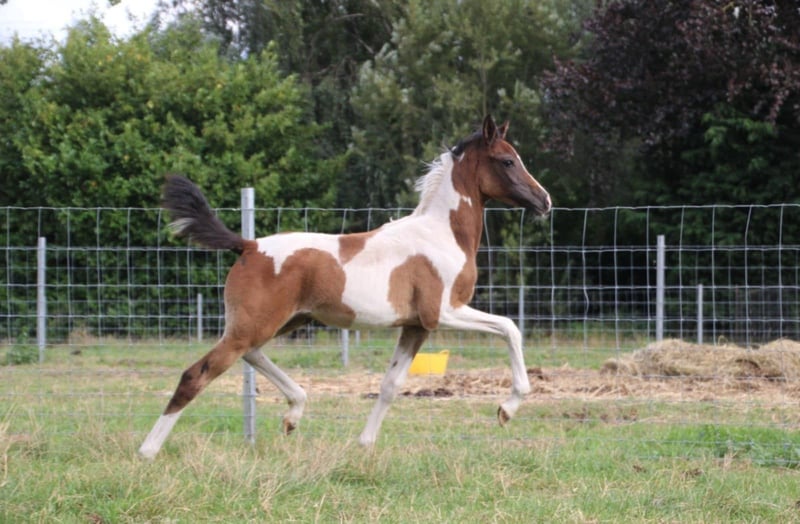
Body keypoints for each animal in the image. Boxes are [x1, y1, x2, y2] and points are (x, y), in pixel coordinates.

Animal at [138, 115, 551, 459]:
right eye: (507, 160)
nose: (544, 200)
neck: (440, 234)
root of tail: (249, 246)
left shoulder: (415, 326)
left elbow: (390, 385)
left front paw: (364, 445)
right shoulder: (442, 313)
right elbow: (510, 328)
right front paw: (507, 409)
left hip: (282, 322)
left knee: (251, 355)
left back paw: (294, 413)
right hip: (255, 324)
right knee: (197, 374)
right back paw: (147, 451)